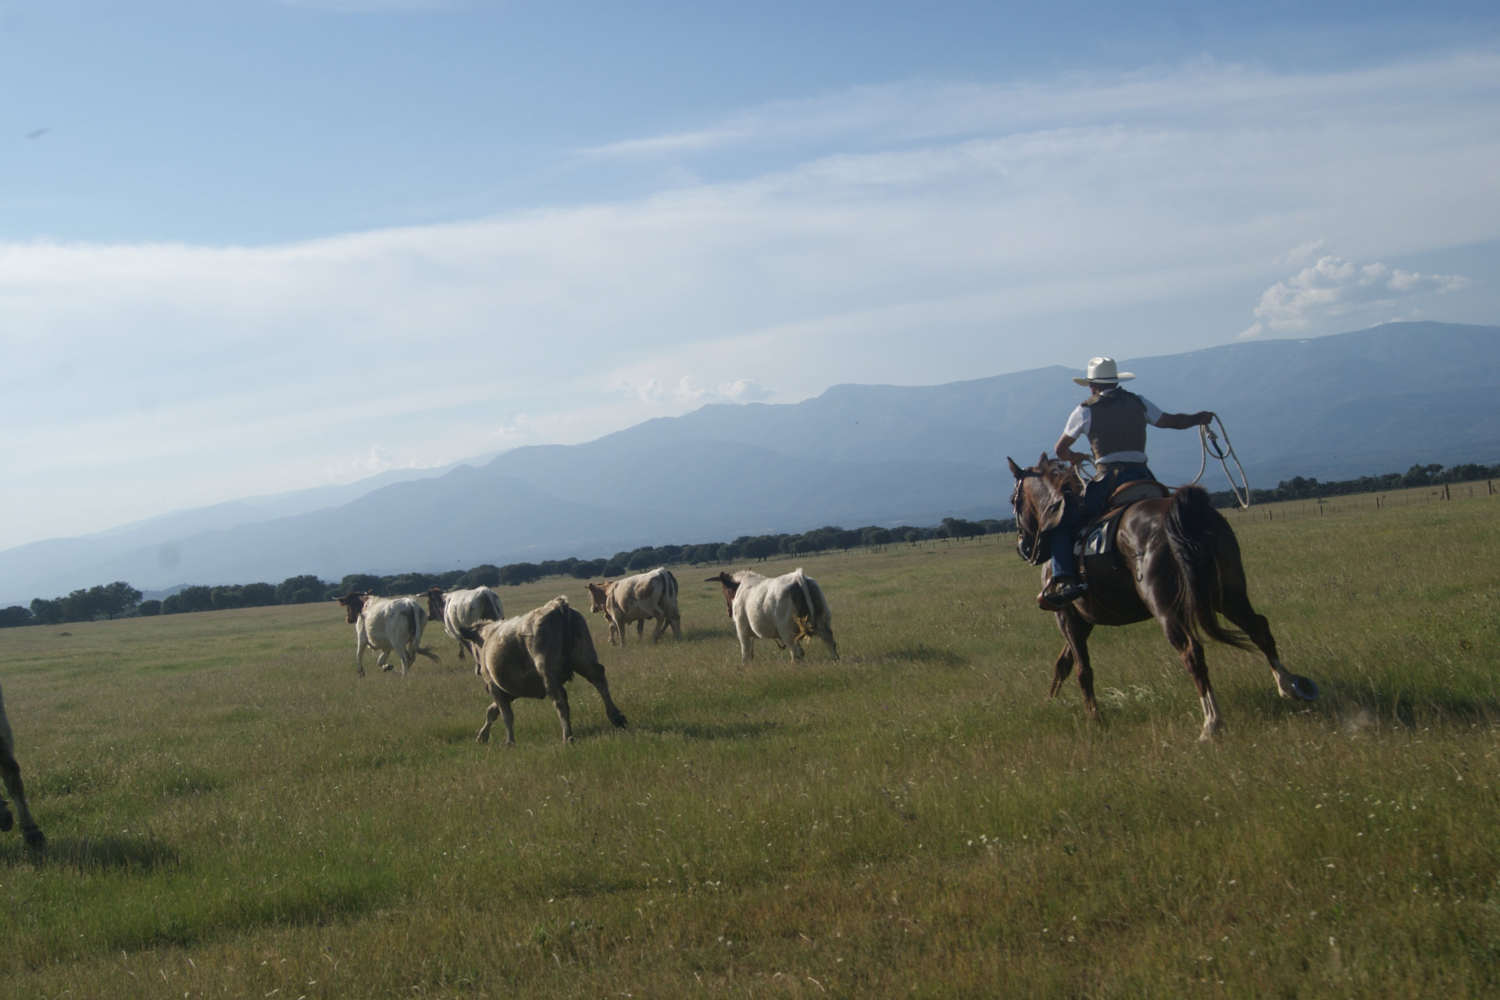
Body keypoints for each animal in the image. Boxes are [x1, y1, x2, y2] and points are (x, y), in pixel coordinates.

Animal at [453, 593, 624, 743]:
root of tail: (556, 605)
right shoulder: (511, 690)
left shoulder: (495, 687)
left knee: (560, 701)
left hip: (548, 673)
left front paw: (509, 741)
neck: (487, 637)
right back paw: (616, 717)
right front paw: (483, 736)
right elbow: (492, 711)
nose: (477, 670)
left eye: (472, 646)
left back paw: (567, 736)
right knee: (599, 681)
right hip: (585, 660)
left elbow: (506, 715)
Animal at [705, 569, 840, 665]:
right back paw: (835, 661)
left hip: (787, 631)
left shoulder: (742, 630)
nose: (728, 611)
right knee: (830, 642)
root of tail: (797, 576)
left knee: (797, 652)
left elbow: (746, 653)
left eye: (725, 591)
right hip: (823, 622)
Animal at [1008, 458, 1314, 740]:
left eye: (1014, 500)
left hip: (1166, 608)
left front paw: (1094, 719)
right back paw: (1288, 686)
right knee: (1258, 628)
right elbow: (1064, 663)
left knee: (1192, 651)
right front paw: (1051, 702)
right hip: (1229, 594)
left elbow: (1083, 669)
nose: (1023, 546)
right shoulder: (1085, 622)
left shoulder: (1067, 617)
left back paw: (1212, 723)